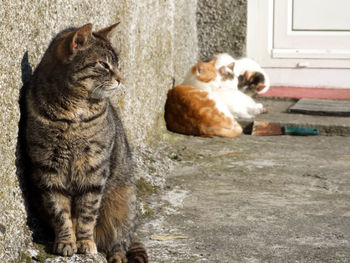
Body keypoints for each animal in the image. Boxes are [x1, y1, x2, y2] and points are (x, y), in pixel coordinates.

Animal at [24, 23, 148, 263]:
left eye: (117, 64)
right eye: (104, 64)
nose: (121, 78)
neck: (74, 113)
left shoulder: (94, 169)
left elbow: (87, 213)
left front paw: (85, 243)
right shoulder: (48, 169)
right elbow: (60, 212)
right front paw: (66, 242)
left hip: (123, 205)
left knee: (121, 240)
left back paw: (116, 255)